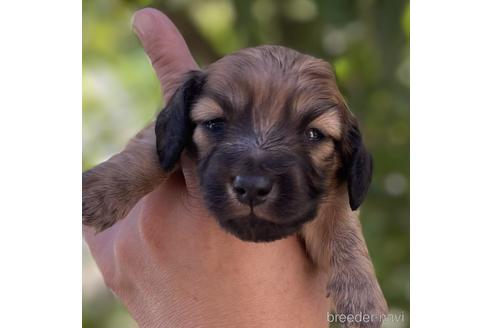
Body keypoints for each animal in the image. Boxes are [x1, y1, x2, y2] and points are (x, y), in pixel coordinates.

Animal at [81, 45, 388, 326]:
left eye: (314, 134)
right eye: (215, 123)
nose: (251, 187)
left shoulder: (336, 189)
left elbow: (342, 225)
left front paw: (360, 291)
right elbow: (149, 152)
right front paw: (103, 191)